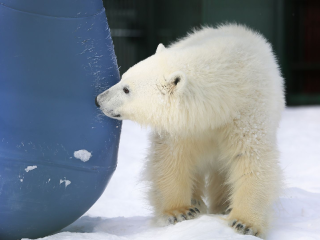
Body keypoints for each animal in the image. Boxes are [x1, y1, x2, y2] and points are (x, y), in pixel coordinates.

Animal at [96, 23, 284, 238]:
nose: (99, 99)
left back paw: (223, 206)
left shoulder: (247, 111)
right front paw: (180, 212)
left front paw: (244, 223)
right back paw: (197, 202)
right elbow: (171, 158)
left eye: (126, 89)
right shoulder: (183, 125)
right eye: (123, 77)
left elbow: (250, 159)